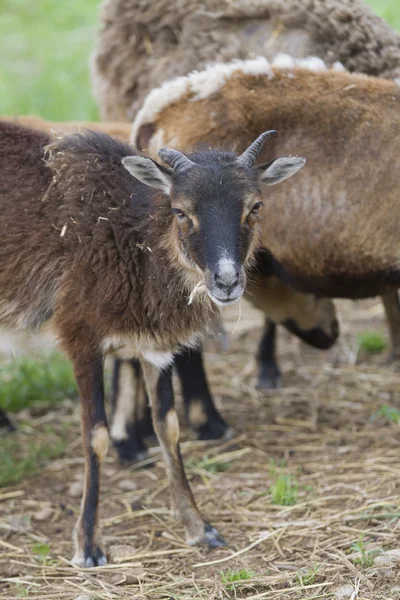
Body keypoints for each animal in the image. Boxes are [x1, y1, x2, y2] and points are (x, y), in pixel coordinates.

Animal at [0, 119, 304, 564]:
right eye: (180, 210)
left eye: (255, 206)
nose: (227, 281)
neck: (132, 236)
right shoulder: (81, 337)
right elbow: (95, 436)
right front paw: (88, 545)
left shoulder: (155, 349)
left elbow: (169, 428)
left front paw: (200, 528)